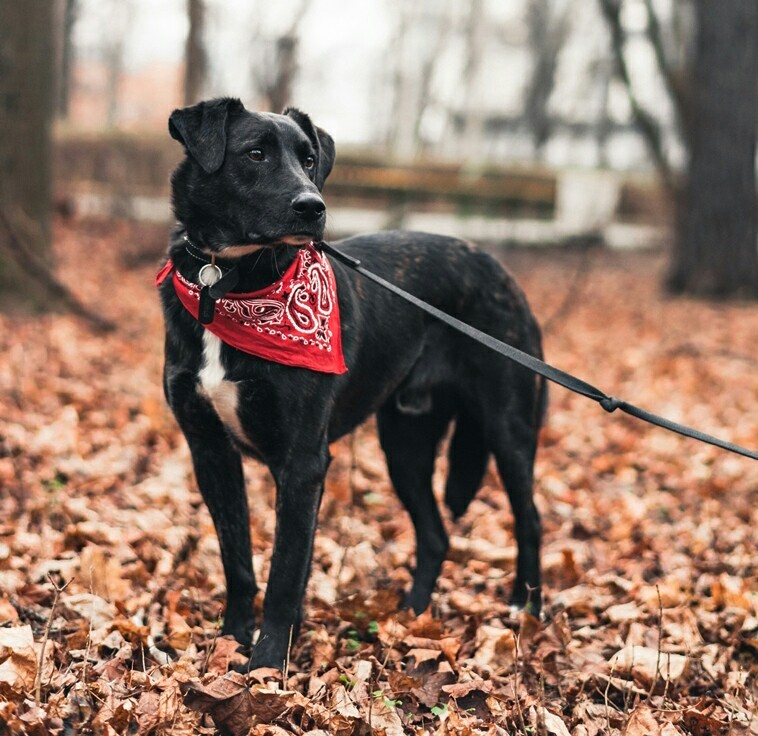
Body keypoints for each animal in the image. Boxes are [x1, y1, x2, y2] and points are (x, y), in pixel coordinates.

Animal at [157, 96, 548, 668]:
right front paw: (231, 640)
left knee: (530, 518)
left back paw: (527, 612)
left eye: (309, 158)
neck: (229, 283)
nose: (313, 206)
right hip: (405, 444)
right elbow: (239, 560)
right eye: (255, 154)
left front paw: (267, 663)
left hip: (507, 427)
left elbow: (285, 571)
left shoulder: (303, 462)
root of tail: (502, 271)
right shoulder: (209, 451)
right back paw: (413, 616)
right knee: (436, 536)